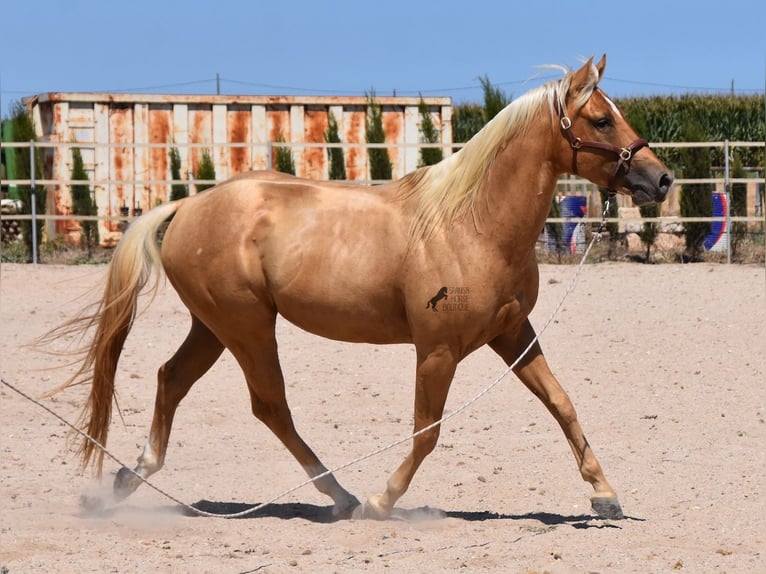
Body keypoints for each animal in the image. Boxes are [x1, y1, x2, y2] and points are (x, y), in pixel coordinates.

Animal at [48, 57, 672, 520]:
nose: (661, 179)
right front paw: (382, 500)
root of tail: (187, 207)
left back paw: (130, 478)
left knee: (172, 380)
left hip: (215, 327)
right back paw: (343, 496)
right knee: (270, 405)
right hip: (246, 327)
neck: (471, 223)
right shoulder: (437, 350)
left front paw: (605, 494)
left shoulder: (513, 333)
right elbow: (427, 432)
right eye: (600, 120)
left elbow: (561, 403)